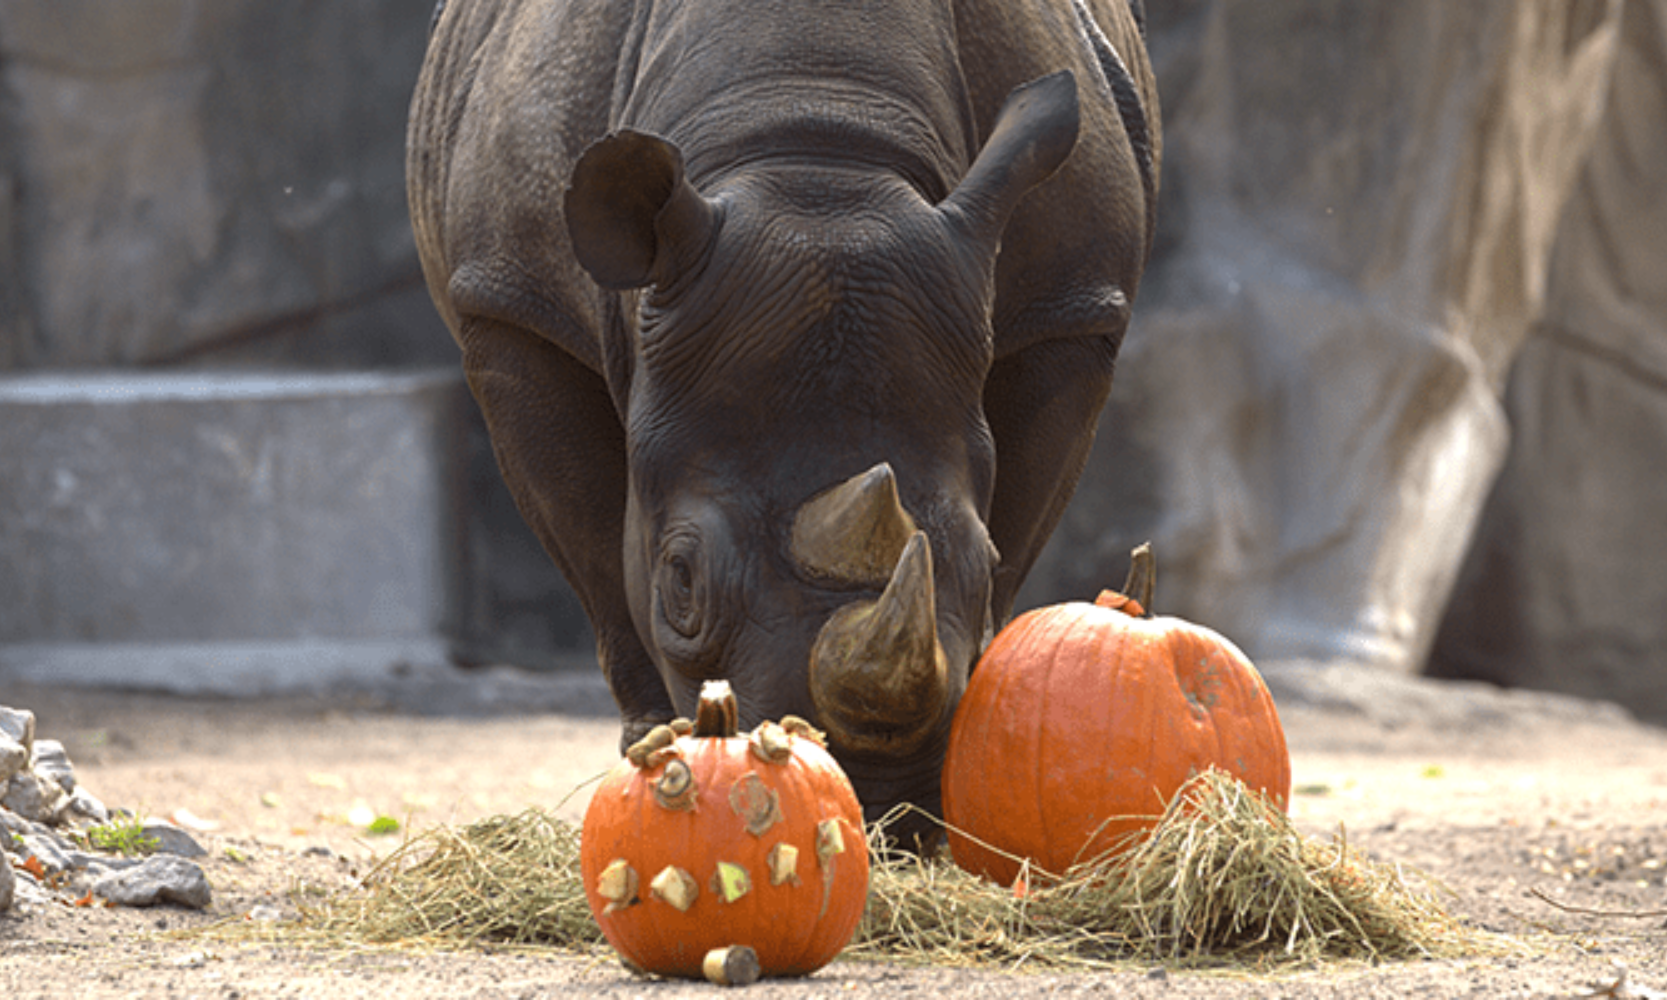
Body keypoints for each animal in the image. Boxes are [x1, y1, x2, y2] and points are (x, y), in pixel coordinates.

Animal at [407, 0, 1160, 835]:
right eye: (679, 580)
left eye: (982, 557)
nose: (876, 802)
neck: (815, 148)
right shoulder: (513, 308)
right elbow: (601, 554)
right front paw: (653, 745)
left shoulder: (1068, 313)